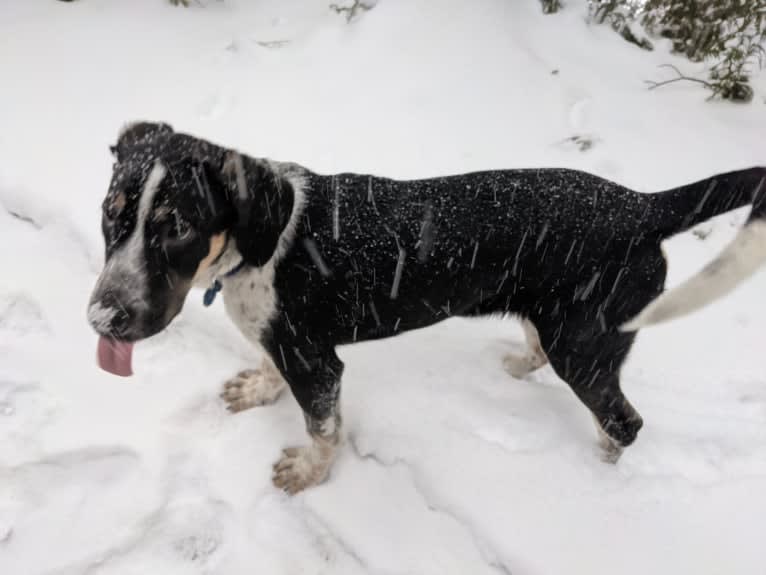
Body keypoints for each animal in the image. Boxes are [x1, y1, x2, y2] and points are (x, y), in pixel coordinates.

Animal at [88, 122, 766, 496]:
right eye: (110, 212)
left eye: (179, 227)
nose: (103, 320)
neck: (255, 245)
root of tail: (644, 205)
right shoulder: (288, 347)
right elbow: (272, 372)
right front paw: (258, 390)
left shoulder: (316, 361)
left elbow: (323, 428)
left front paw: (307, 475)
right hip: (561, 324)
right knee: (550, 358)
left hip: (587, 346)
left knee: (625, 421)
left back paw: (596, 469)